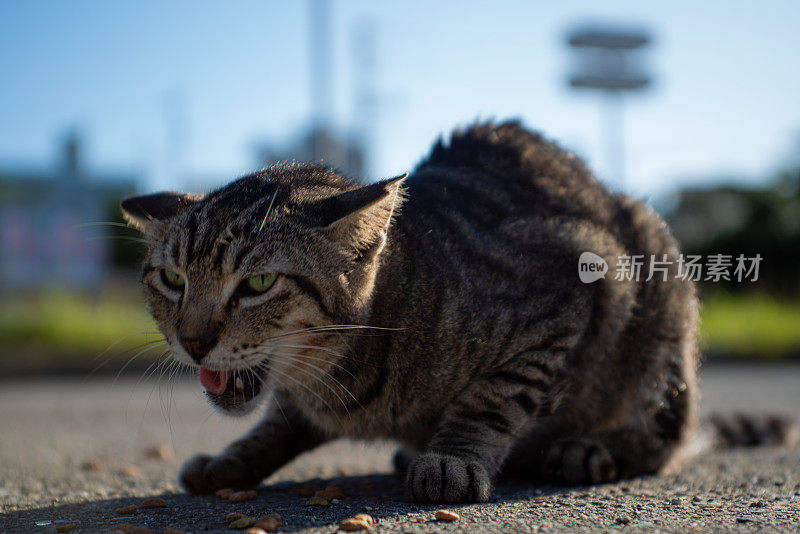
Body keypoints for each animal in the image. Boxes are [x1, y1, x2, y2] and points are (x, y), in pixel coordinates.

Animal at [122, 122, 796, 506]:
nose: (192, 341)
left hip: (660, 307)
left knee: (666, 440)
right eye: (173, 280)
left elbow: (493, 398)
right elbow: (274, 426)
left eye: (258, 283)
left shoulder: (569, 291)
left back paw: (587, 450)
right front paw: (230, 460)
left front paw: (452, 458)